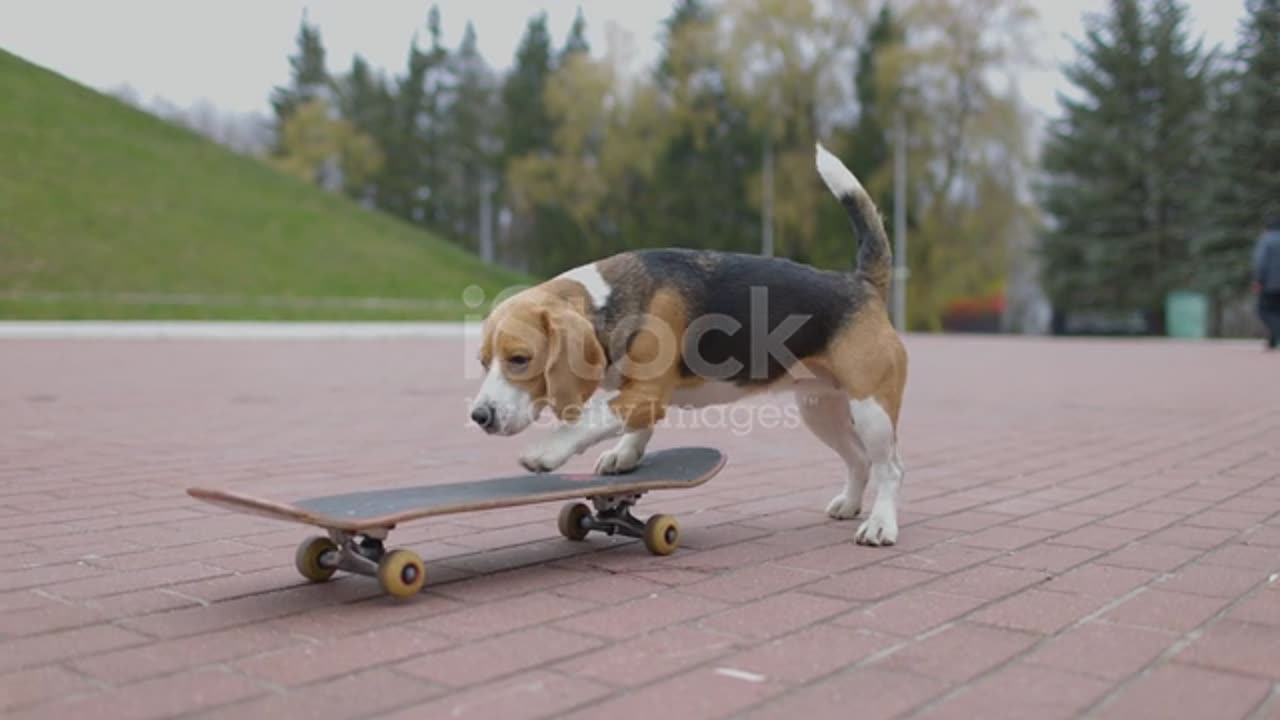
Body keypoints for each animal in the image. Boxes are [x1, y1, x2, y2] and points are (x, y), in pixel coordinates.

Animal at [473, 142, 911, 540]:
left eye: (519, 359)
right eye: (482, 362)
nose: (480, 417)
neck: (609, 299)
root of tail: (862, 284)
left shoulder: (645, 392)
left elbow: (591, 418)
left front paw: (546, 452)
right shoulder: (643, 395)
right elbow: (635, 426)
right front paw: (625, 454)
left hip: (871, 410)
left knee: (890, 468)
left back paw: (880, 524)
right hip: (820, 410)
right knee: (859, 460)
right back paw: (850, 504)